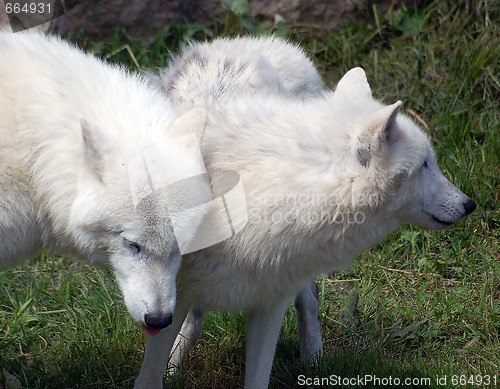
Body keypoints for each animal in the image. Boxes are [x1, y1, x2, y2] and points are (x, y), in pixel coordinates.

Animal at [135, 37, 474, 388]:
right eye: (424, 165)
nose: (469, 204)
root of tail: (258, 42)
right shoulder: (171, 297)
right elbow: (150, 374)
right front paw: (168, 367)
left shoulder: (271, 302)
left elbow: (259, 377)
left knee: (309, 301)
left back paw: (314, 362)